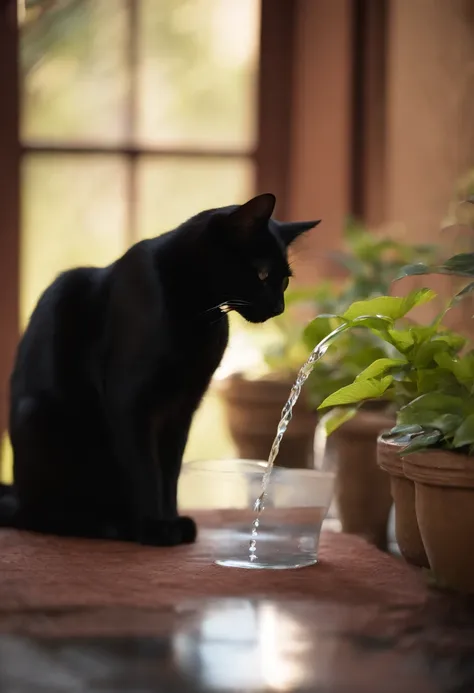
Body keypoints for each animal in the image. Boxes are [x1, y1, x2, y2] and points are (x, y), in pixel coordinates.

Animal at [0, 192, 318, 544]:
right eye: (261, 274)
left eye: (285, 280)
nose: (279, 307)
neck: (198, 313)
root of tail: (15, 494)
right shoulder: (130, 402)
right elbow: (145, 469)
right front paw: (156, 528)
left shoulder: (181, 409)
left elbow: (169, 471)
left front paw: (172, 519)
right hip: (40, 417)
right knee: (36, 517)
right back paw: (107, 525)